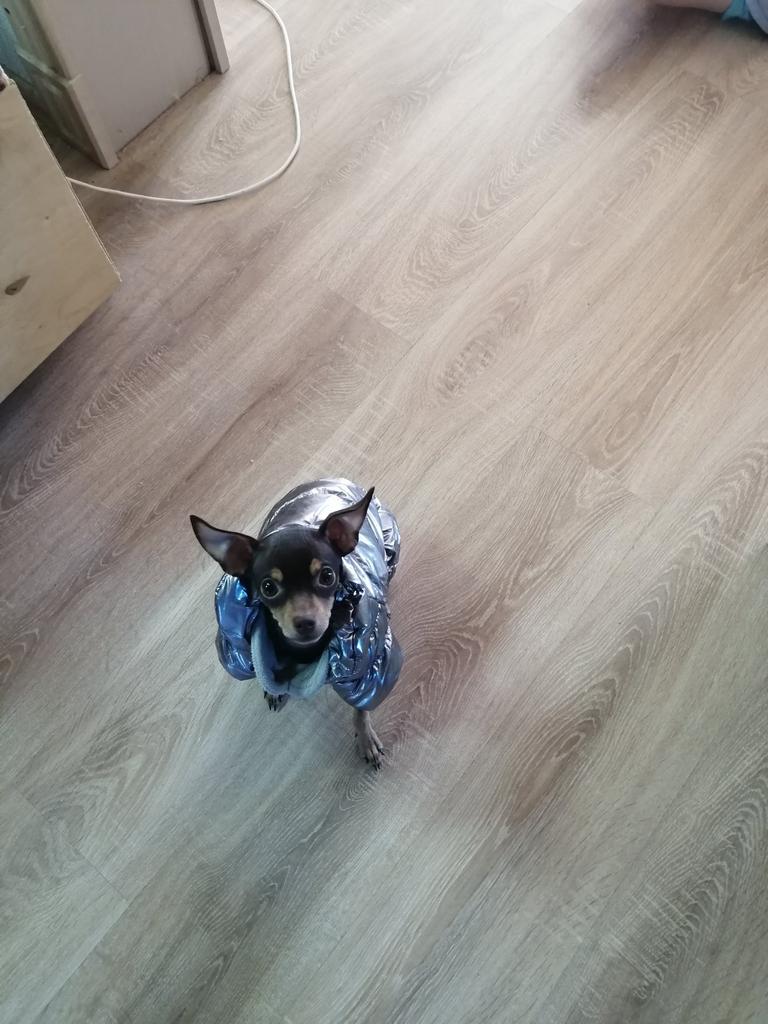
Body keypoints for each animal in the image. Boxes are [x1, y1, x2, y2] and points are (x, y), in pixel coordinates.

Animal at [191, 479, 402, 768]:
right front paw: (274, 688)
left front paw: (366, 739)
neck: (302, 652)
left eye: (327, 576)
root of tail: (328, 478)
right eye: (268, 587)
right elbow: (266, 671)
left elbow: (361, 708)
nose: (305, 622)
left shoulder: (369, 669)